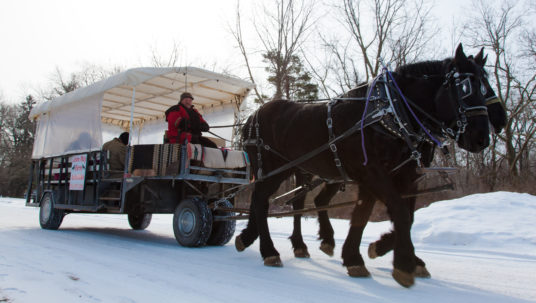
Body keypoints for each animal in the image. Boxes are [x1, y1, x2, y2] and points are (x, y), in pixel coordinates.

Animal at [234, 44, 490, 288]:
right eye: (466, 88)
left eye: (487, 89)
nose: (482, 138)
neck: (389, 113)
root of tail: (252, 116)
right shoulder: (373, 173)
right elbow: (398, 212)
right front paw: (403, 264)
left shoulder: (400, 176)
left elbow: (374, 215)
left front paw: (359, 256)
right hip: (272, 170)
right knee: (260, 201)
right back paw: (268, 250)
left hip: (299, 170)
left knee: (288, 201)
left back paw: (264, 239)